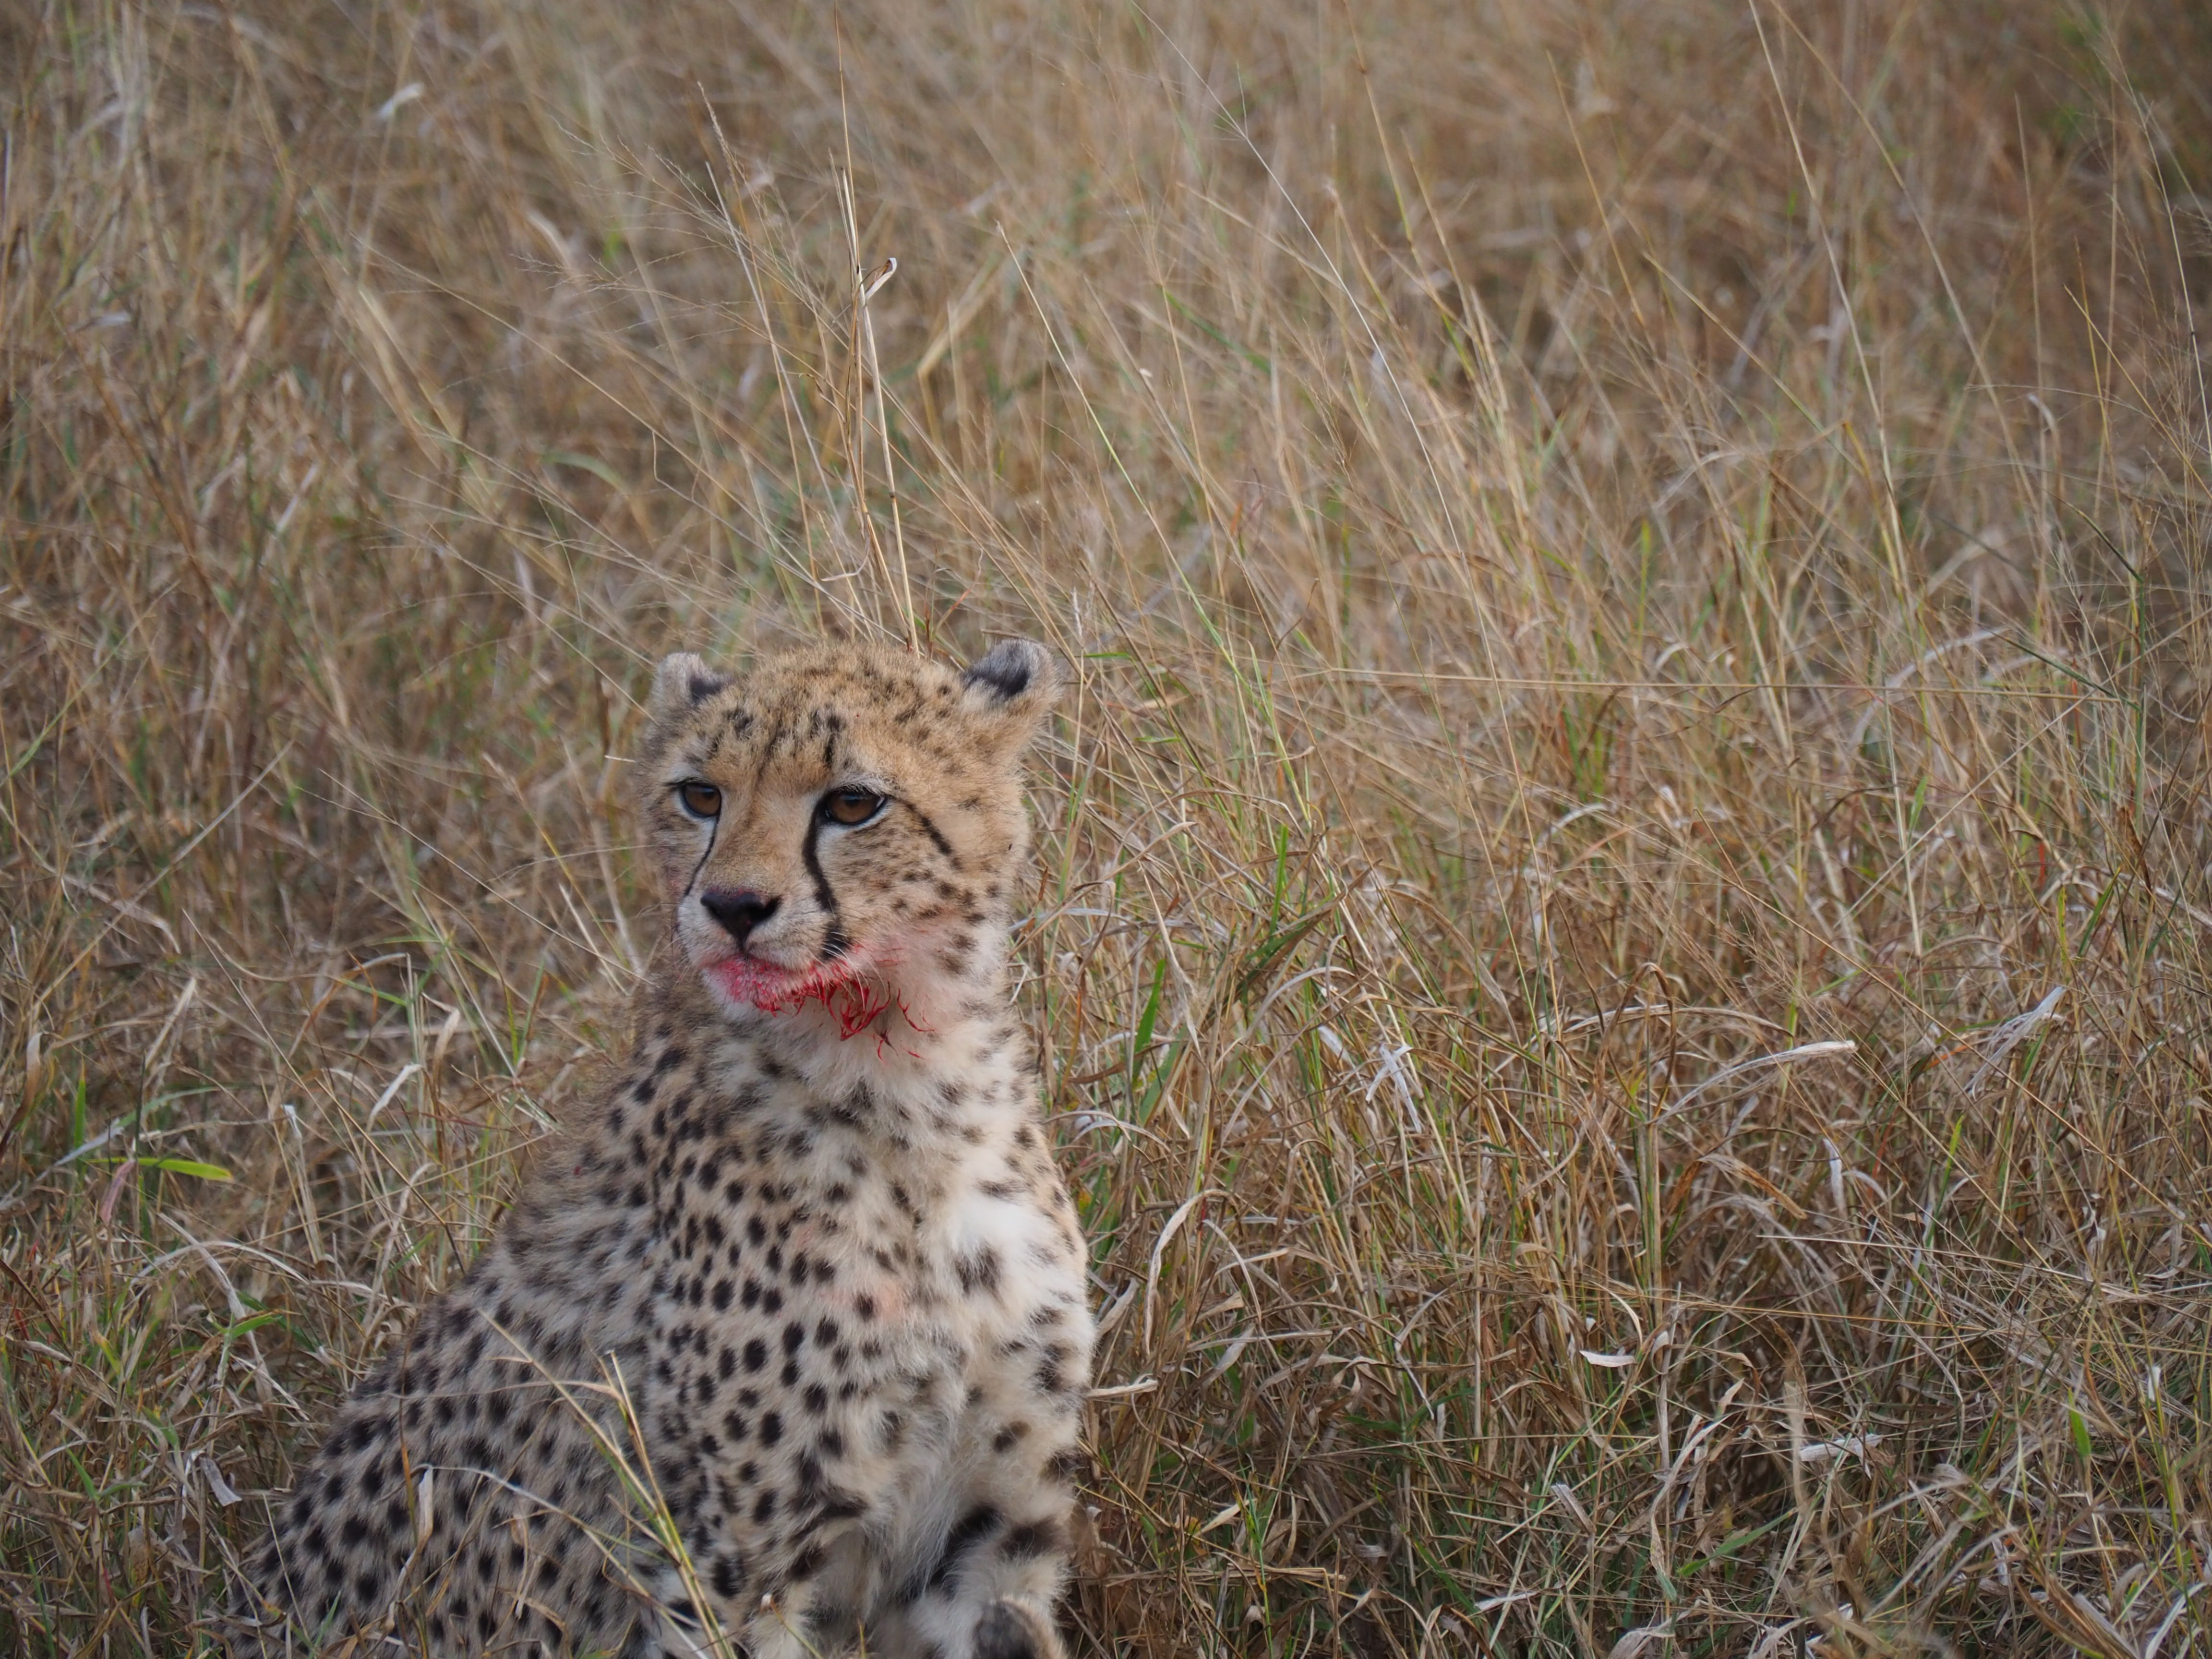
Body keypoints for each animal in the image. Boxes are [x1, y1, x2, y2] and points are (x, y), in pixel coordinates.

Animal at [222, 638, 1095, 1659]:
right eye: (700, 795)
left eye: (852, 803)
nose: (733, 905)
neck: (907, 1079)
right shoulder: (729, 1574)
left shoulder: (994, 1539)